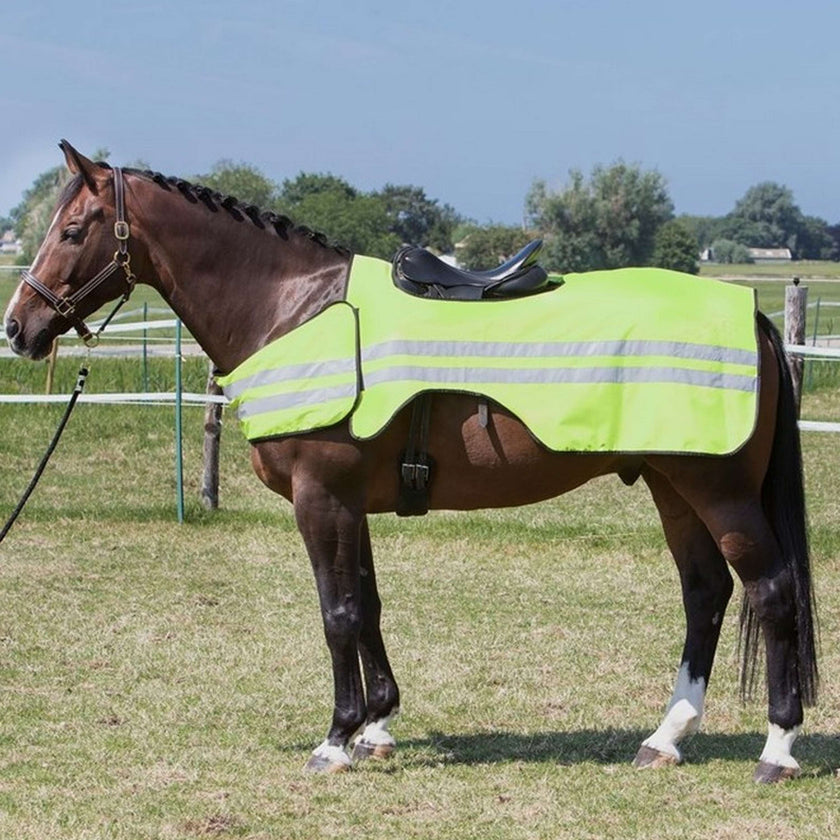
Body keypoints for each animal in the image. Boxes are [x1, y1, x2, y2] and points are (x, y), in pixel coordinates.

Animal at [3, 142, 818, 783]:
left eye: (71, 229)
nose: (19, 327)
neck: (295, 310)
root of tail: (750, 315)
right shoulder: (349, 502)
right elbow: (366, 606)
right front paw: (377, 726)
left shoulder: (321, 498)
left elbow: (336, 613)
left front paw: (336, 740)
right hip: (671, 485)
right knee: (706, 593)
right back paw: (665, 738)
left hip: (718, 492)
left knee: (772, 591)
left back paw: (778, 749)